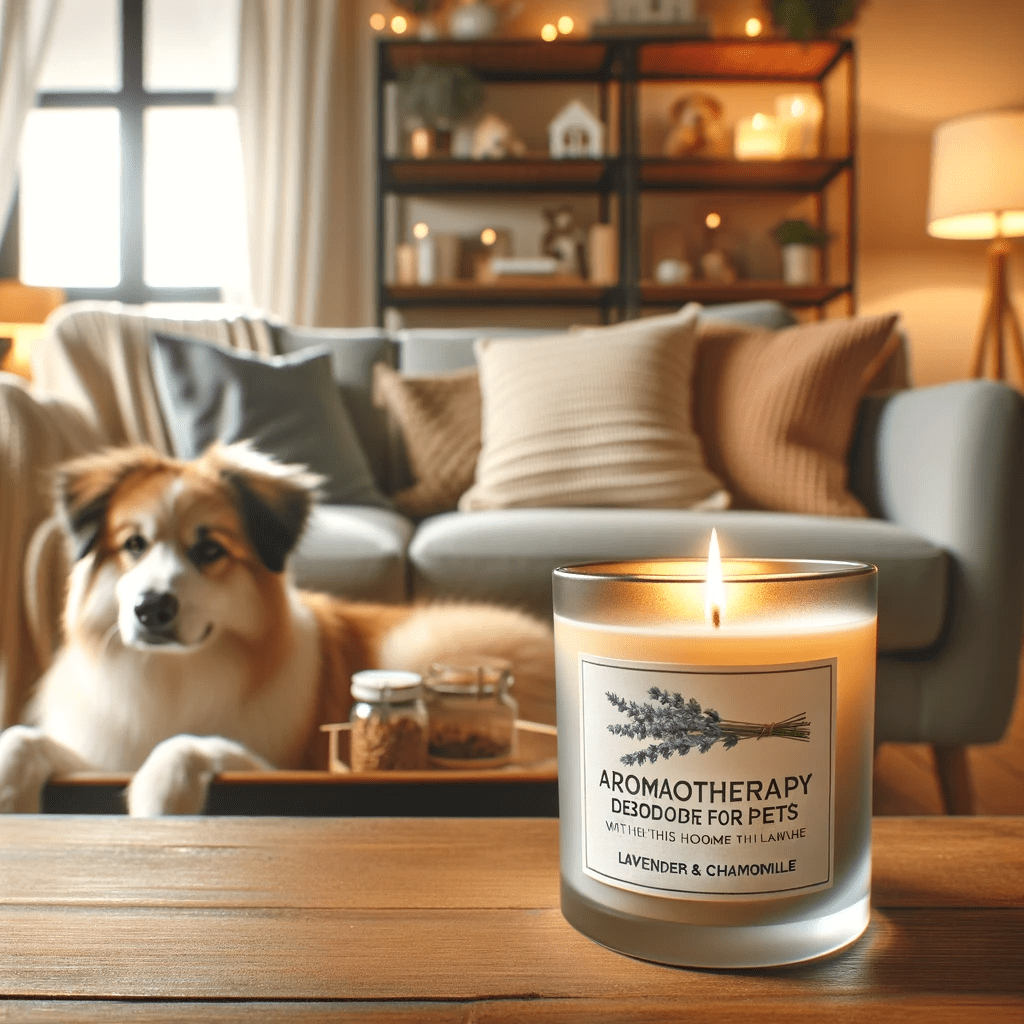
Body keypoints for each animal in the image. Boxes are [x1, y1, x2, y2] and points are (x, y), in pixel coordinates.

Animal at [0, 444, 557, 811]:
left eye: (210, 550)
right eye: (134, 544)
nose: (151, 609)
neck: (171, 676)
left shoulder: (287, 766)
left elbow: (193, 743)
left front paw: (162, 792)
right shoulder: (101, 749)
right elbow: (25, 738)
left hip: (414, 645)